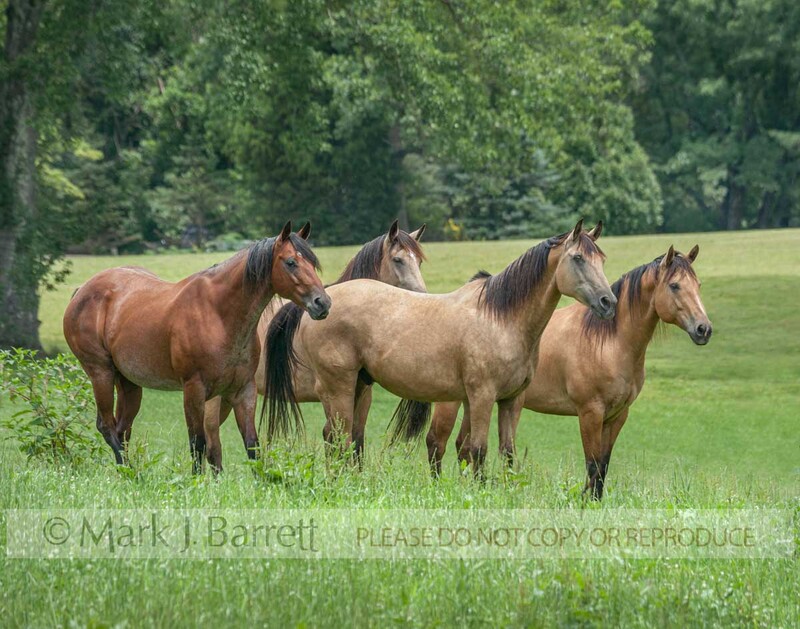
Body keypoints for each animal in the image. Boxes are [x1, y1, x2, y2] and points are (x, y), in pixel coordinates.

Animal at [63, 222, 331, 472]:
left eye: (312, 262)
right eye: (291, 262)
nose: (322, 303)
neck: (217, 314)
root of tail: (81, 291)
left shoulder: (244, 390)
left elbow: (251, 444)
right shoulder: (194, 389)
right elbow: (198, 442)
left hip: (128, 383)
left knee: (122, 429)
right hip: (101, 373)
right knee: (107, 426)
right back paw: (131, 474)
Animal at [203, 219, 427, 460]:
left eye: (419, 261)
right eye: (398, 260)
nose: (423, 296)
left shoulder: (362, 395)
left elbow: (356, 442)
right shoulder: (330, 394)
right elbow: (334, 438)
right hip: (214, 401)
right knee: (212, 446)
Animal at [265, 220, 616, 474]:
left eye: (601, 258)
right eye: (578, 258)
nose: (608, 302)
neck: (500, 318)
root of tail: (318, 303)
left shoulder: (509, 400)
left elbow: (504, 453)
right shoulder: (482, 396)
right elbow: (478, 450)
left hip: (358, 386)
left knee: (343, 438)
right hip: (337, 387)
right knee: (338, 438)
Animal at [426, 245, 712, 498]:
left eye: (698, 286)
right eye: (674, 286)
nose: (704, 329)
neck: (609, 341)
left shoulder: (617, 416)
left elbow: (603, 465)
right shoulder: (590, 412)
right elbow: (593, 463)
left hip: (473, 400)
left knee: (462, 447)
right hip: (452, 401)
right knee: (436, 442)